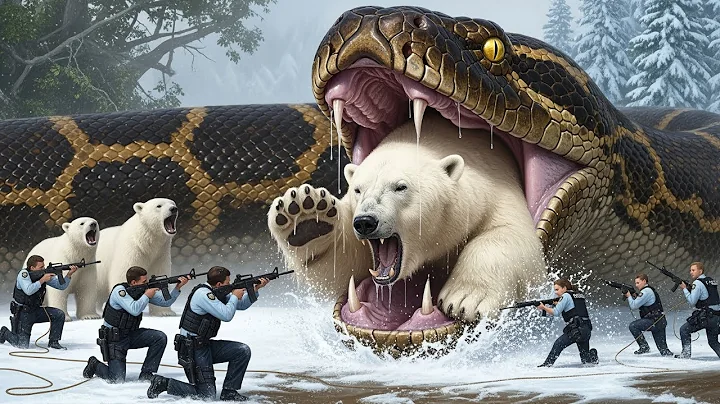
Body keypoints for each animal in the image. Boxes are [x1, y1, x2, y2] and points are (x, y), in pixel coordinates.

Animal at [267, 110, 547, 330]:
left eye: (400, 187)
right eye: (358, 189)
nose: (366, 222)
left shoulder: (496, 186)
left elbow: (512, 235)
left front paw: (464, 299)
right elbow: (343, 264)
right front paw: (306, 217)